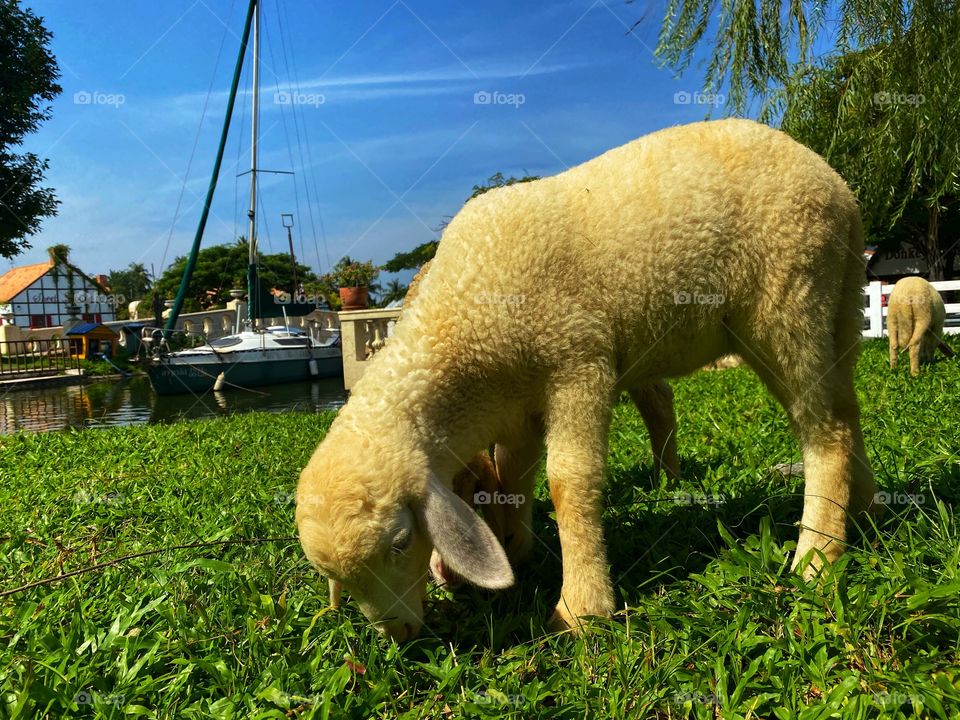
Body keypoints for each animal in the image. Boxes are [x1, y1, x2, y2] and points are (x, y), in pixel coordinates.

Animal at [296, 118, 876, 642]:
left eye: (399, 543)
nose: (398, 633)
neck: (462, 325)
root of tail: (834, 183)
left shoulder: (578, 363)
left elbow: (568, 481)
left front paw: (580, 608)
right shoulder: (518, 408)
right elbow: (516, 476)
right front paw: (518, 551)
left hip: (789, 297)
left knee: (826, 430)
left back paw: (817, 557)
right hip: (840, 308)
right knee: (847, 411)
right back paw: (864, 512)